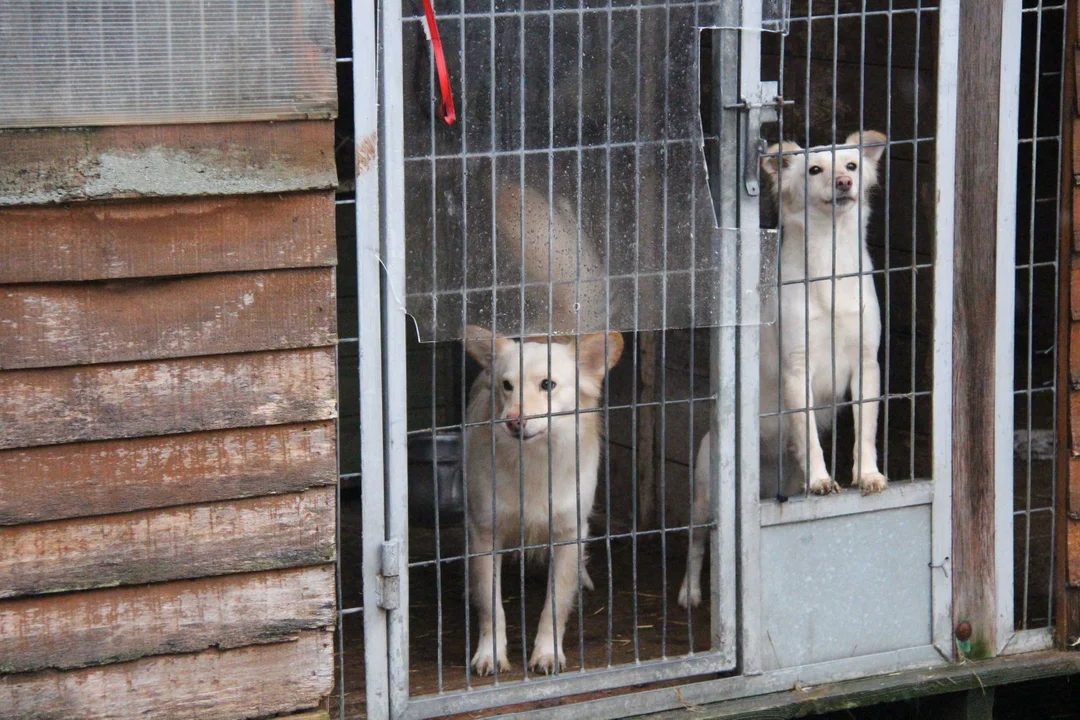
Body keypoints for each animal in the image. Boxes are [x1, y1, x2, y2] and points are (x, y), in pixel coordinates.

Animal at [460, 325, 622, 677]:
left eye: (548, 385)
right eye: (507, 385)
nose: (513, 421)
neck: (534, 459)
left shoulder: (569, 533)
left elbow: (555, 606)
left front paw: (547, 653)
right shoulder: (484, 532)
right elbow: (491, 606)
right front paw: (490, 654)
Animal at [678, 127, 889, 608]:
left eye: (851, 165)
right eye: (814, 169)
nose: (844, 183)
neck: (831, 263)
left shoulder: (866, 367)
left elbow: (865, 429)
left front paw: (866, 473)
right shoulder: (798, 371)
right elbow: (808, 434)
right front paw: (822, 479)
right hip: (706, 497)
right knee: (698, 543)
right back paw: (691, 592)